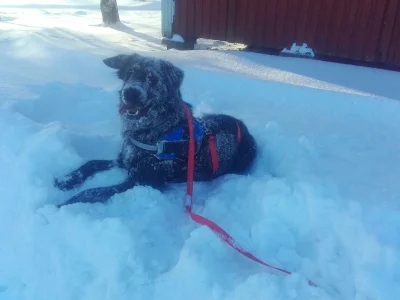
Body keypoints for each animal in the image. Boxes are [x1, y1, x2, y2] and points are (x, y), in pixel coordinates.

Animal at [54, 53, 256, 206]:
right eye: (129, 73)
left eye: (152, 78)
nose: (130, 93)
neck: (150, 132)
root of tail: (243, 126)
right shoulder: (124, 160)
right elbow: (91, 163)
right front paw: (66, 180)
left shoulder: (141, 180)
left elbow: (94, 191)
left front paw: (66, 203)